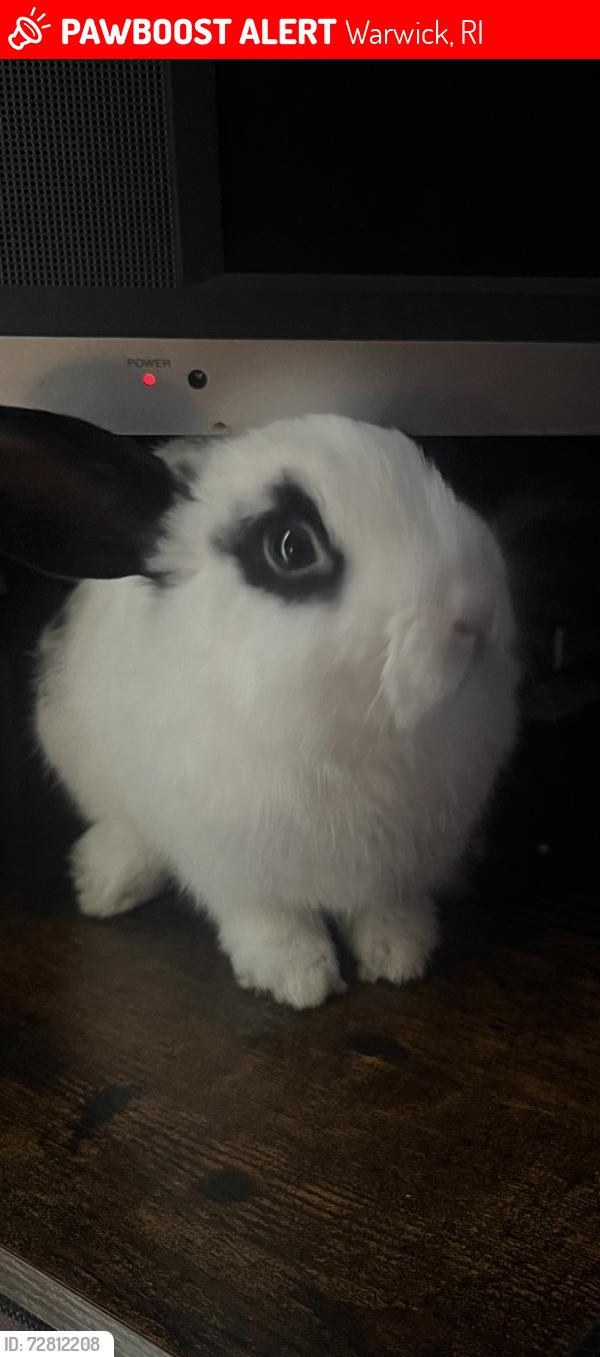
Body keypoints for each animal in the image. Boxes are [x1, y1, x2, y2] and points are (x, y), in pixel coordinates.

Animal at [32, 412, 519, 1009]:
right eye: (291, 548)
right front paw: (298, 980)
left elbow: (387, 908)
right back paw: (106, 884)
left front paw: (400, 955)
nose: (474, 612)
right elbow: (268, 922)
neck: (351, 727)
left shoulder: (393, 869)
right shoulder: (235, 868)